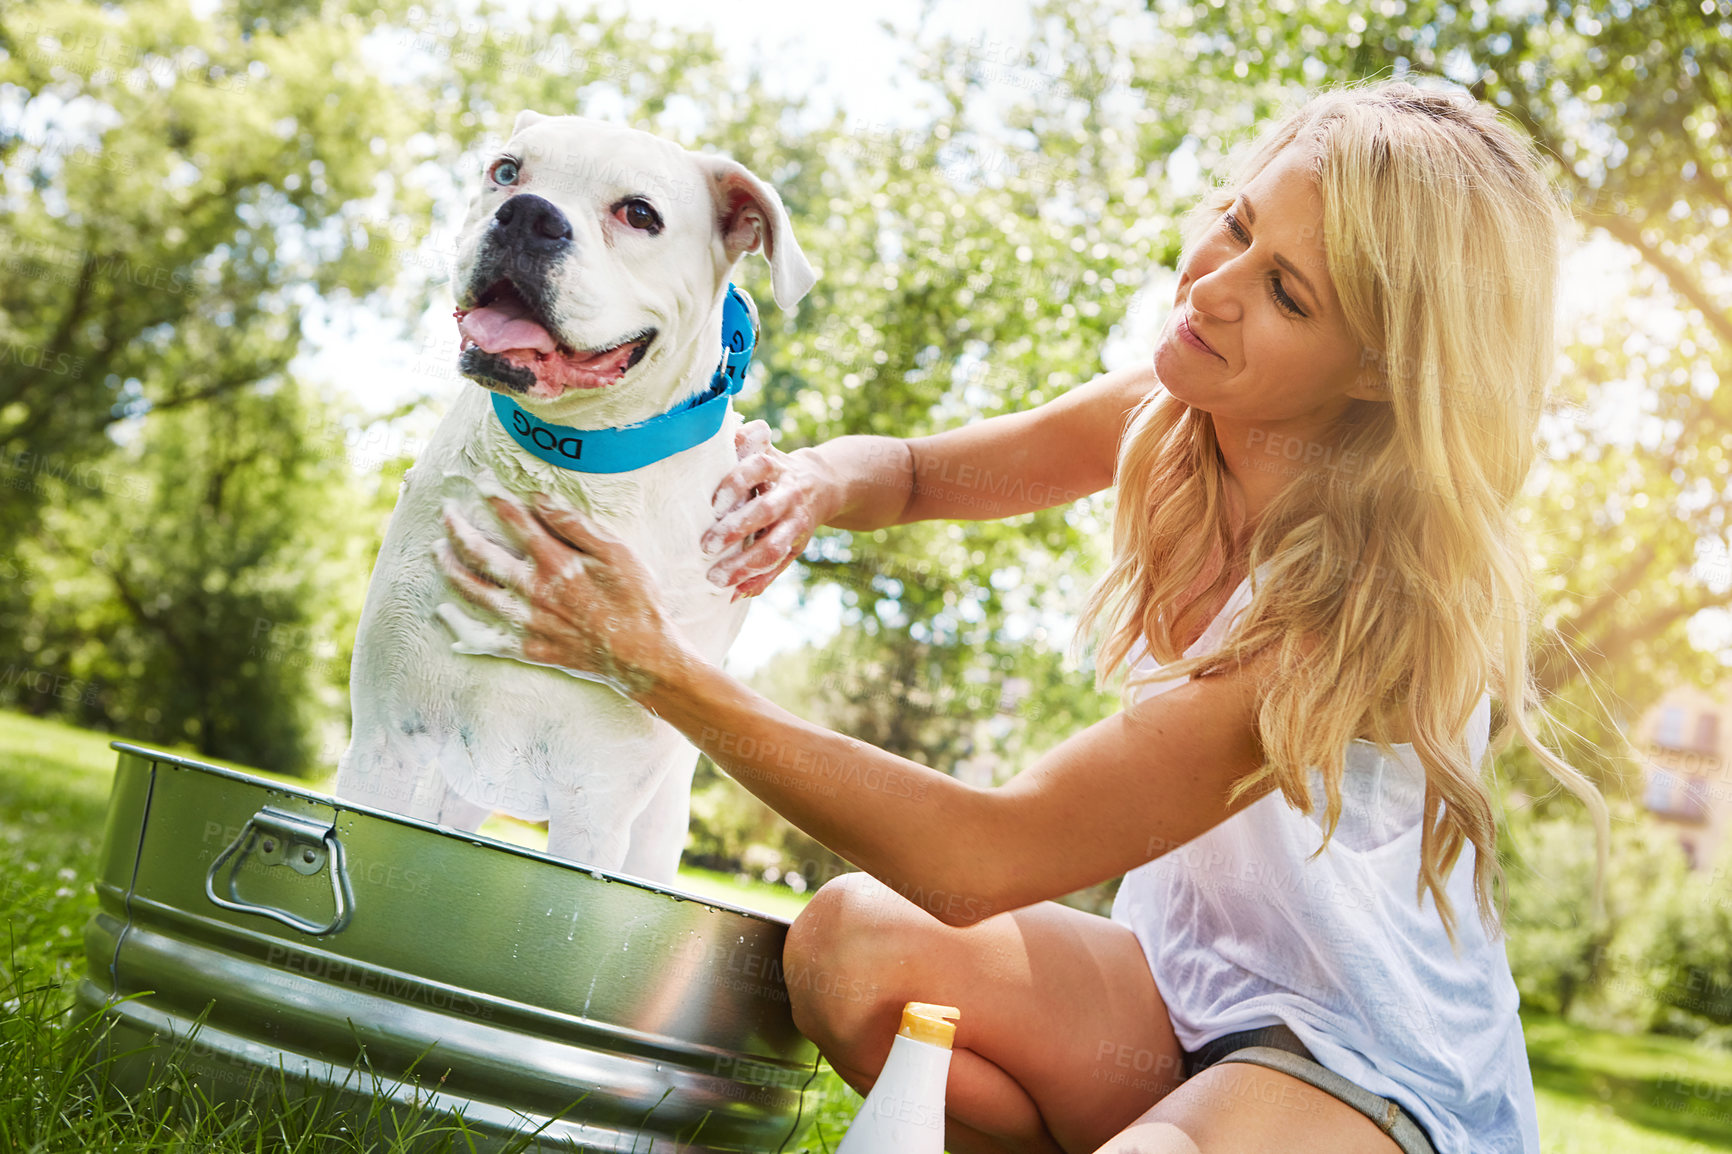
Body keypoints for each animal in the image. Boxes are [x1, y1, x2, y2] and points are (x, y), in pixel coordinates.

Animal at [339, 112, 824, 876]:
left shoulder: (595, 807)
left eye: (640, 214)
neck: (570, 464)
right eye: (507, 171)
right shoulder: (387, 746)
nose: (528, 215)